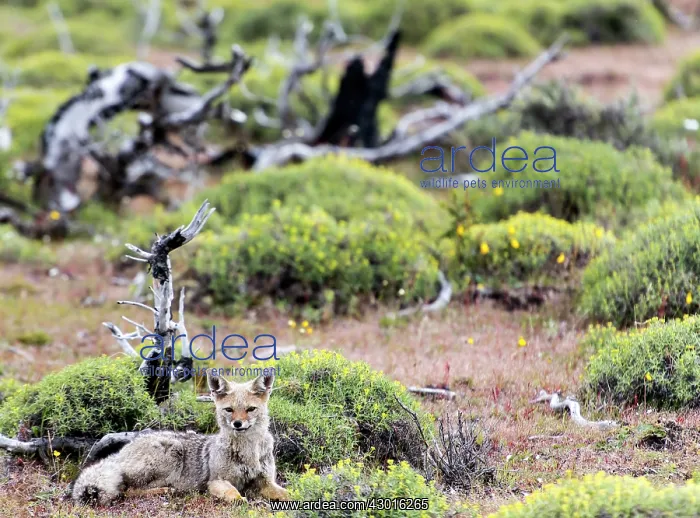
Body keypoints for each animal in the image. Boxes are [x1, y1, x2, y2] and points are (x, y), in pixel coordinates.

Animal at [72, 370, 290, 506]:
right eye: (229, 410)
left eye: (250, 409)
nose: (238, 424)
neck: (248, 452)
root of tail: (121, 452)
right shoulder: (215, 482)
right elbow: (232, 492)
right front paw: (239, 500)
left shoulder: (265, 480)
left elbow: (286, 493)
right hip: (174, 451)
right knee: (128, 490)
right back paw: (165, 491)